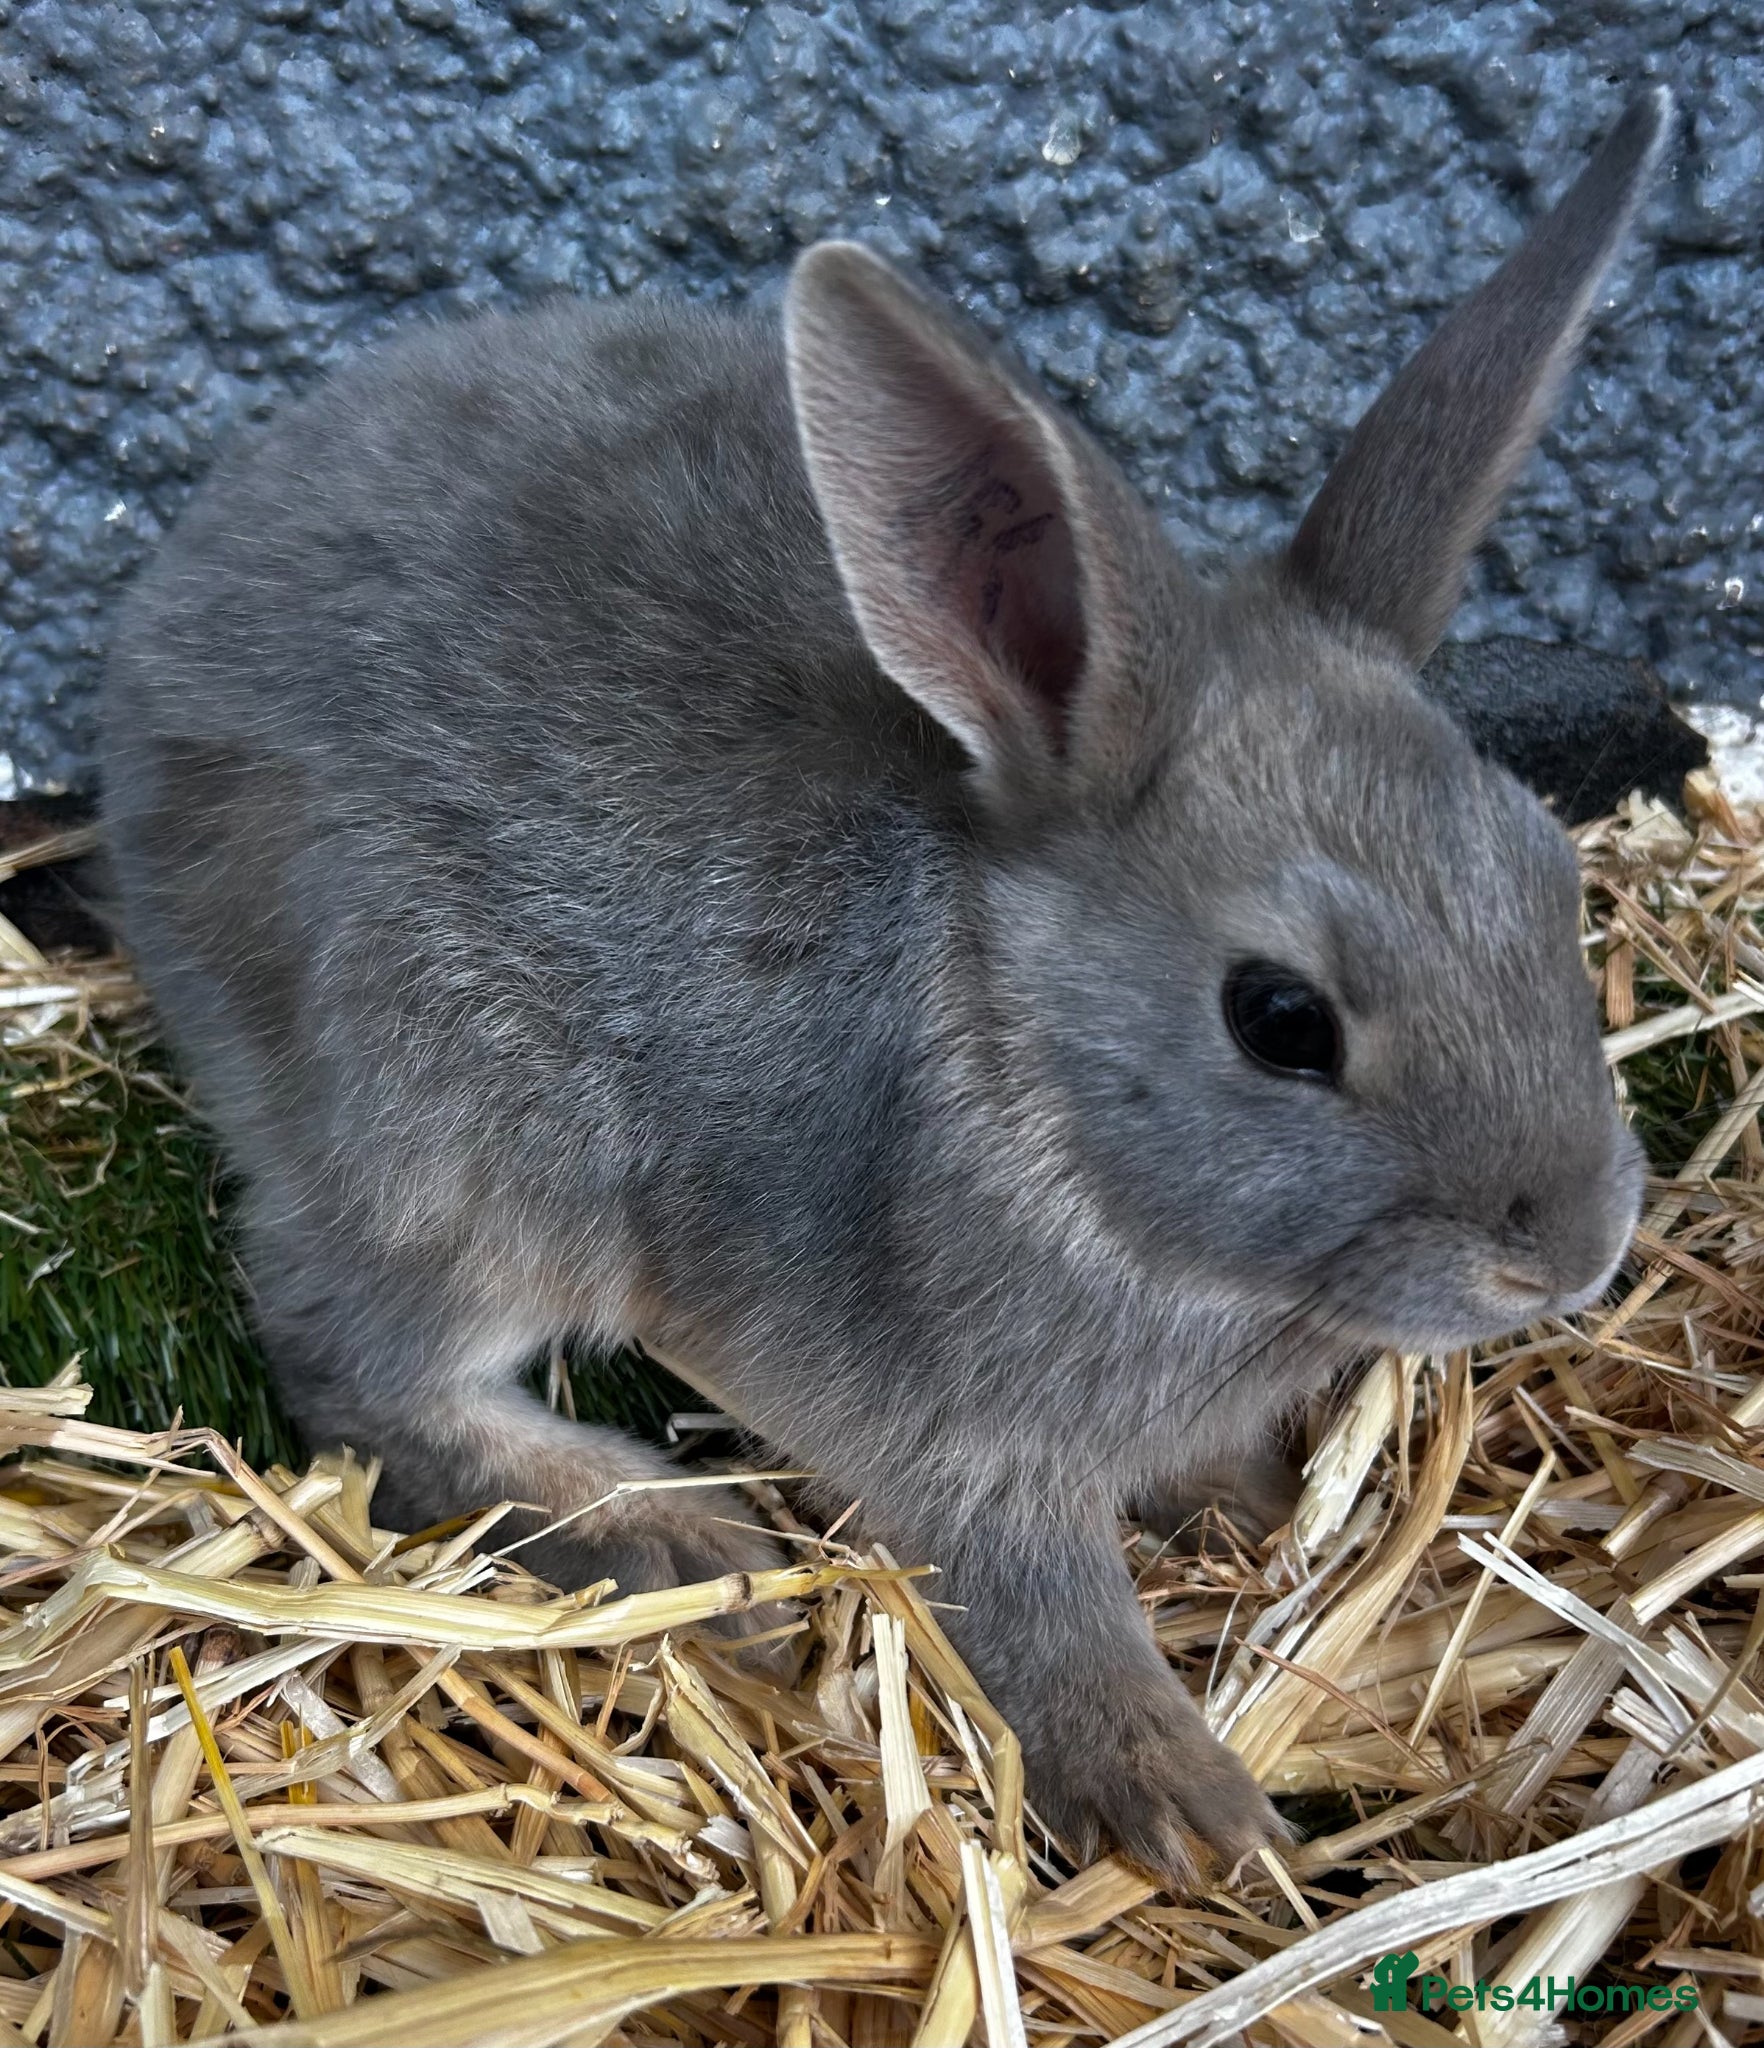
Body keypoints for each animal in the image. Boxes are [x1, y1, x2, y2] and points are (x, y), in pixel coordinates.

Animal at [99, 89, 1666, 1886]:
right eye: (1279, 1019)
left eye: (1547, 876)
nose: (1571, 1248)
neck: (1032, 1083)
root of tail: (150, 678)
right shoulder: (958, 1449)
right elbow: (1043, 1614)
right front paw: (1192, 1812)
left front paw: (1250, 1514)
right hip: (461, 1119)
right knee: (355, 1357)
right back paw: (679, 1538)